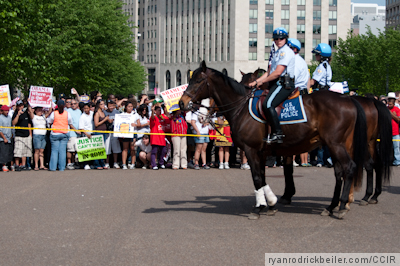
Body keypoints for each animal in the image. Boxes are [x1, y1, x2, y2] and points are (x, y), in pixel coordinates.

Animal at [180, 61, 368, 219]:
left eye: (198, 81)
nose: (182, 103)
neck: (242, 108)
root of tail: (348, 98)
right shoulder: (262, 152)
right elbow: (263, 177)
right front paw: (270, 203)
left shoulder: (251, 150)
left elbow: (257, 177)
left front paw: (259, 208)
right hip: (335, 145)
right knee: (339, 173)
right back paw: (331, 206)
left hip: (336, 145)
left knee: (349, 167)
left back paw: (342, 206)